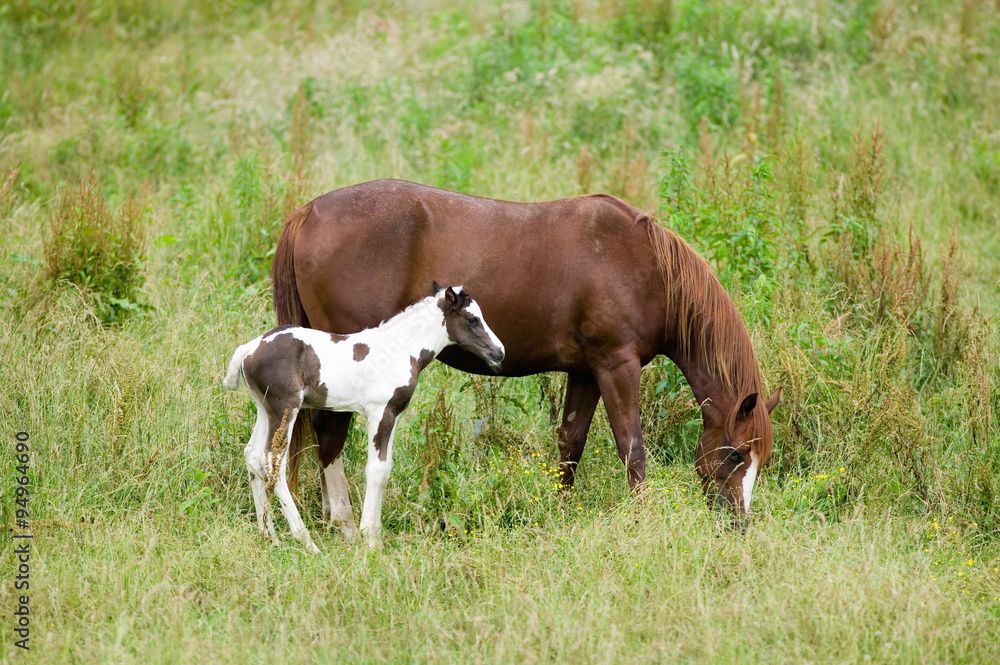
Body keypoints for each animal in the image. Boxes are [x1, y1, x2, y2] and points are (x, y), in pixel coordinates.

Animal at [224, 284, 505, 549]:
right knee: (273, 461)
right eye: (472, 319)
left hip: (266, 409)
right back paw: (307, 542)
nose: (499, 352)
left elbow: (385, 468)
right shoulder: (380, 413)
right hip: (286, 408)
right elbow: (377, 470)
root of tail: (250, 348)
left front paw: (375, 536)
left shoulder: (393, 415)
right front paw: (370, 538)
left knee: (252, 455)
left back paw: (269, 536)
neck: (400, 349)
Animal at [271, 179, 781, 535]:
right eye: (735, 454)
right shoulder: (616, 365)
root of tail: (309, 212)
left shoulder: (586, 372)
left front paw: (560, 510)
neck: (645, 267)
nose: (737, 525)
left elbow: (570, 444)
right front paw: (642, 518)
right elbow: (631, 448)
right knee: (330, 434)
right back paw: (342, 521)